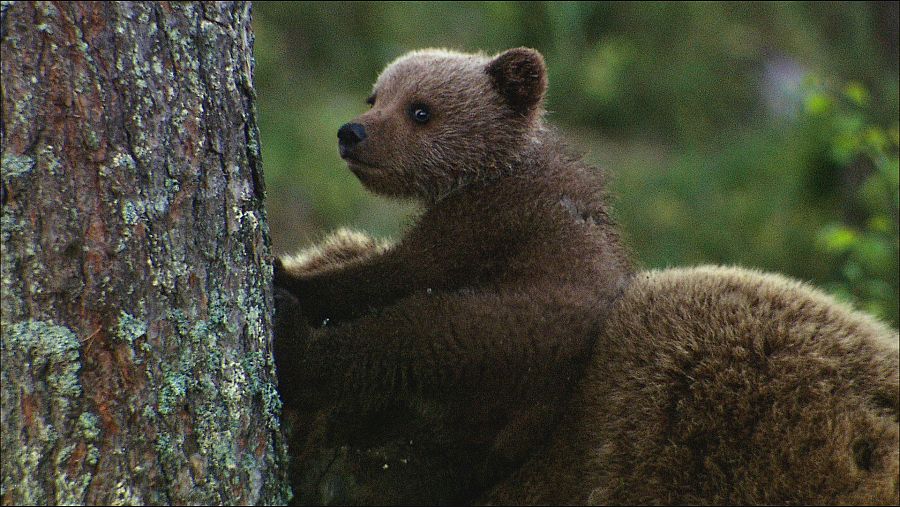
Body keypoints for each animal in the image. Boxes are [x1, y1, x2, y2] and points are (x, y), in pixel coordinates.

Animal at [273, 47, 900, 505]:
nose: (351, 131)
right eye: (376, 94)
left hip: (526, 341)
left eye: (420, 109)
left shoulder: (490, 220)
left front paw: (289, 279)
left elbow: (401, 270)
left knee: (418, 340)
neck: (497, 167)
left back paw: (297, 346)